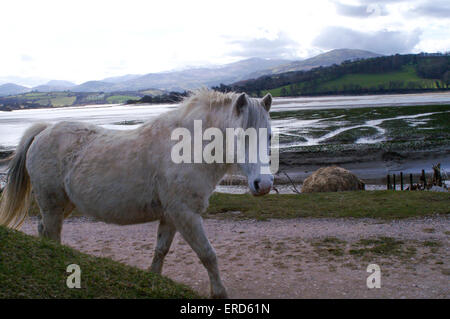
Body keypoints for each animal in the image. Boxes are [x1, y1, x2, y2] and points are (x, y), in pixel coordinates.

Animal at [0, 89, 272, 298]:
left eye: (269, 135)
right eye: (242, 136)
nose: (264, 184)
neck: (186, 148)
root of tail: (44, 131)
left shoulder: (171, 216)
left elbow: (161, 250)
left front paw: (153, 280)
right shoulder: (186, 214)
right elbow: (208, 255)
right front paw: (219, 293)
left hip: (63, 205)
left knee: (43, 230)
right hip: (52, 204)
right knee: (52, 234)